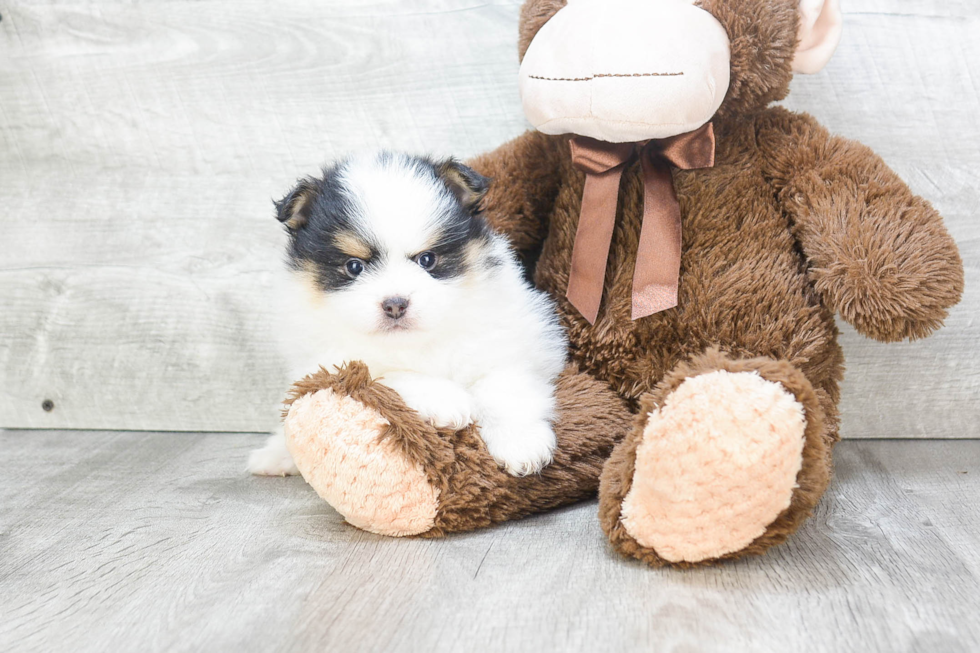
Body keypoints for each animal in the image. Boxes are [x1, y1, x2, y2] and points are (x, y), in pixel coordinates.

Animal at [245, 153, 568, 478]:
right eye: (354, 266)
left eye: (427, 260)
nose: (395, 304)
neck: (415, 342)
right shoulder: (332, 362)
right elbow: (391, 374)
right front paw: (447, 400)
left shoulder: (508, 338)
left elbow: (504, 385)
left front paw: (520, 443)